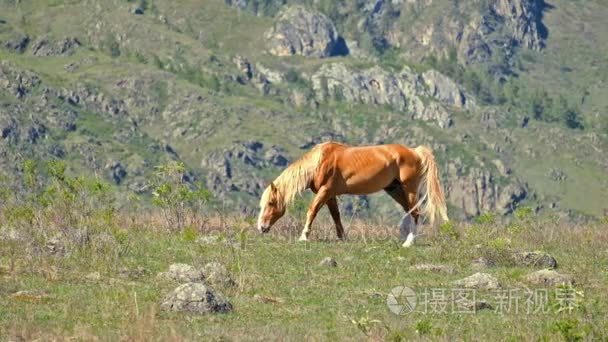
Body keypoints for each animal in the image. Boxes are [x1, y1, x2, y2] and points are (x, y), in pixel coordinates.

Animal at [254, 141, 448, 246]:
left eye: (271, 203)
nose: (261, 228)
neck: (320, 161)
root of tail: (415, 151)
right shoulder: (330, 195)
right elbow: (336, 216)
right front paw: (342, 238)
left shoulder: (325, 191)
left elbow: (312, 211)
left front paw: (303, 237)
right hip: (395, 190)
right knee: (410, 211)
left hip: (409, 189)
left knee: (415, 213)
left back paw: (409, 242)